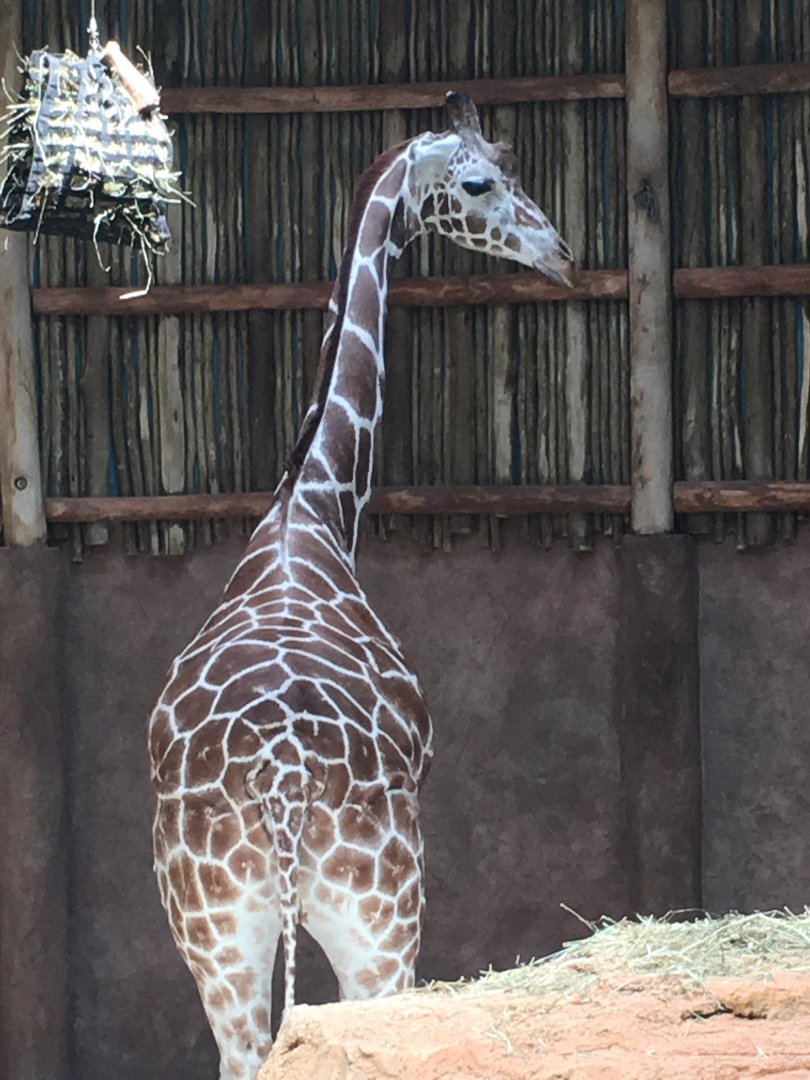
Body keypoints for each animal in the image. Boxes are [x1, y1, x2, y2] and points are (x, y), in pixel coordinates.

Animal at [148, 91, 575, 1080]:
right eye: (480, 181)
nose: (561, 254)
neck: (308, 511)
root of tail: (281, 781)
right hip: (382, 911)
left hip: (214, 929)